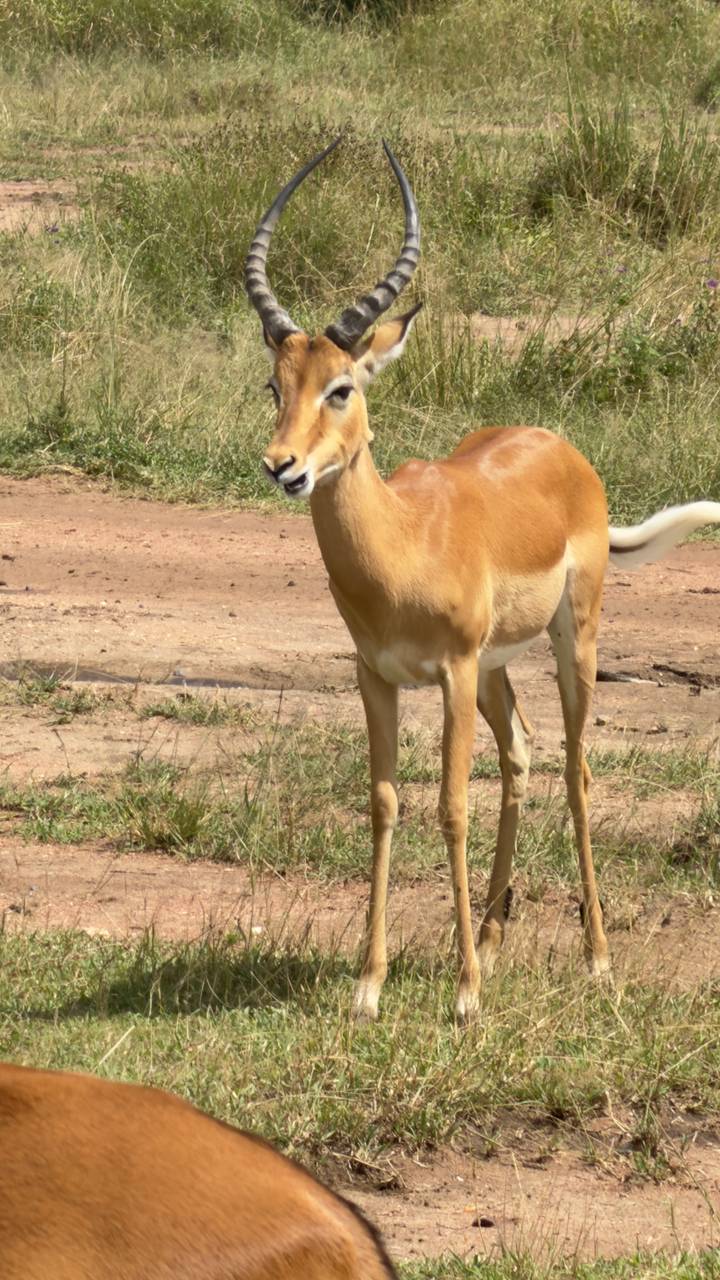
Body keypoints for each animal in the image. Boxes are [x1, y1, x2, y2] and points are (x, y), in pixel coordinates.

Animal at [245, 136, 720, 1022]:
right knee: (523, 756)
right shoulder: (376, 676)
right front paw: (369, 985)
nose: (282, 466)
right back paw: (496, 942)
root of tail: (563, 450)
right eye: (275, 385)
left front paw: (463, 997)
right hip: (500, 667)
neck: (403, 545)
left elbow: (449, 806)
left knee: (575, 770)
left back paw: (595, 958)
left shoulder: (453, 673)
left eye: (342, 386)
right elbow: (385, 802)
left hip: (571, 640)